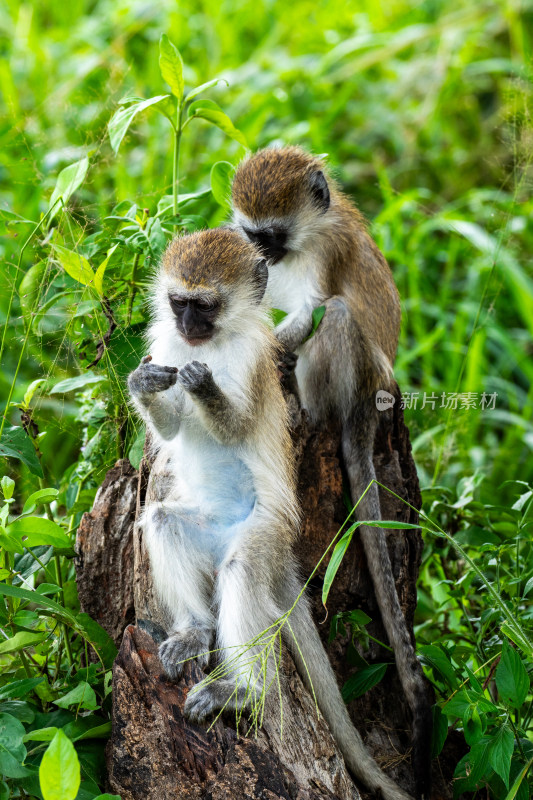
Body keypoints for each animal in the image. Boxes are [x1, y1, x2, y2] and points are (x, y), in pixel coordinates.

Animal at [128, 228, 412, 800]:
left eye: (205, 306)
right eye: (178, 302)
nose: (188, 328)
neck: (212, 345)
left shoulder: (254, 363)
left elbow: (237, 425)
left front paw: (202, 385)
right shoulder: (166, 346)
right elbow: (170, 429)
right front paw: (143, 383)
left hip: (265, 537)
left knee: (242, 572)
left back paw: (245, 691)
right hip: (206, 530)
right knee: (165, 521)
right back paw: (194, 631)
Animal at [233, 150, 432, 800]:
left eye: (273, 235)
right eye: (252, 236)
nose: (264, 257)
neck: (307, 237)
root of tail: (373, 398)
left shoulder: (325, 254)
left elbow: (310, 310)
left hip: (354, 376)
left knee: (338, 318)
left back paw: (304, 405)